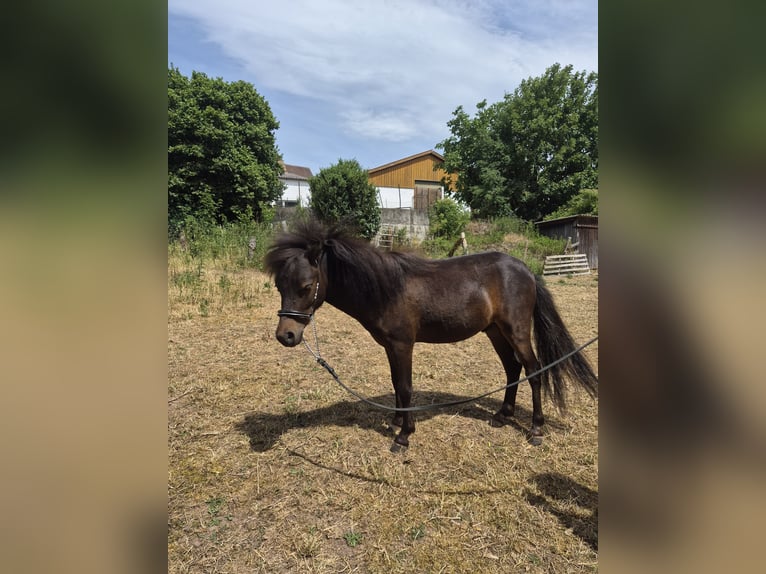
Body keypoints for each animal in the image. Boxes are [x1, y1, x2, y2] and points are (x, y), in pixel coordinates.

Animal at [264, 219, 597, 450]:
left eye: (306, 286)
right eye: (279, 285)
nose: (286, 335)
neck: (386, 290)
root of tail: (526, 270)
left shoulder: (403, 345)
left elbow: (406, 387)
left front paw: (403, 436)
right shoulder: (390, 347)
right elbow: (396, 385)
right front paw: (396, 421)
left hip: (515, 331)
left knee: (534, 371)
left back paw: (536, 429)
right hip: (494, 331)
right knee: (512, 369)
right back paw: (503, 416)